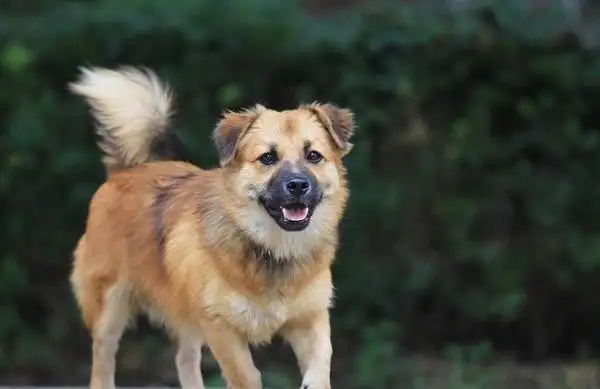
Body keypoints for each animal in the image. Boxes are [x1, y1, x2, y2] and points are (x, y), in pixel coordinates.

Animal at [68, 66, 354, 388]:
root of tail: (126, 172)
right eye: (268, 158)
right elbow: (246, 375)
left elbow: (321, 361)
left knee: (185, 359)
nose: (297, 185)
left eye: (313, 155)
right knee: (103, 359)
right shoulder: (220, 326)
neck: (273, 249)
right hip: (109, 307)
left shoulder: (311, 318)